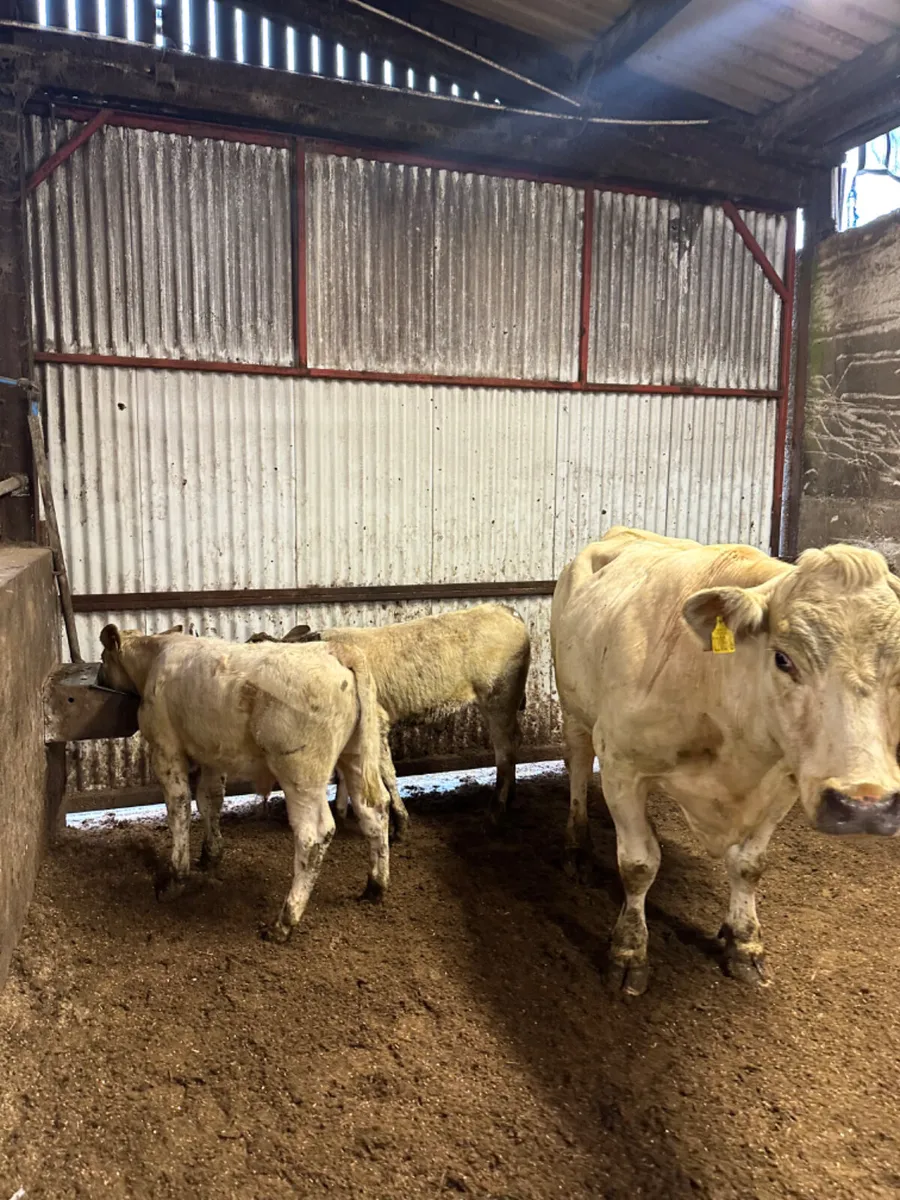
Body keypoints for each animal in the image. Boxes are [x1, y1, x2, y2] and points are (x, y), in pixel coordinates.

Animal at [97, 626, 390, 941]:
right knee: (374, 810)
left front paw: (175, 878)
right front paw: (210, 854)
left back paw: (285, 921)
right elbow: (209, 800)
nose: (99, 676)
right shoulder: (212, 752)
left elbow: (179, 808)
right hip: (356, 754)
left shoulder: (166, 748)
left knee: (313, 835)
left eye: (103, 657)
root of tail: (335, 650)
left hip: (302, 773)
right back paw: (375, 887)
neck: (155, 655)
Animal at [250, 604, 531, 834]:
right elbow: (345, 772)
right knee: (514, 742)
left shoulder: (376, 722)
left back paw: (496, 811)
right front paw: (342, 812)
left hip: (499, 700)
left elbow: (386, 772)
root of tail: (503, 610)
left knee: (504, 749)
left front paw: (400, 823)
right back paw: (512, 798)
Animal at [551, 527, 900, 995]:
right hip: (575, 713)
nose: (865, 805)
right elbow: (639, 864)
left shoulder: (786, 780)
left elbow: (749, 866)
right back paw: (578, 848)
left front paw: (744, 942)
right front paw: (628, 950)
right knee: (576, 765)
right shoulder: (621, 764)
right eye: (783, 658)